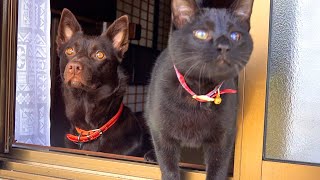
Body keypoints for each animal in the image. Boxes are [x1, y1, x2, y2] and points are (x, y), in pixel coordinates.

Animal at [144, 0, 252, 180]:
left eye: (235, 36)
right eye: (201, 34)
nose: (224, 46)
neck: (199, 92)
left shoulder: (224, 137)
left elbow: (218, 168)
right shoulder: (161, 132)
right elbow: (168, 167)